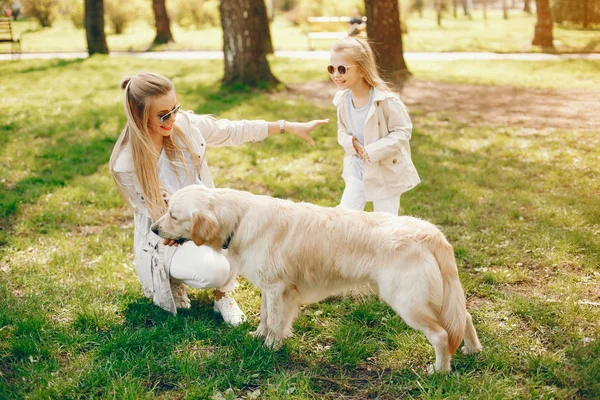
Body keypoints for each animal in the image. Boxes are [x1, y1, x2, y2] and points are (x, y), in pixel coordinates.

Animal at [151, 184, 482, 372]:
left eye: (174, 215)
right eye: (167, 209)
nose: (153, 229)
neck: (240, 219)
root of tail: (432, 233)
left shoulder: (279, 288)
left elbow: (275, 322)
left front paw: (269, 349)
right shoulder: (271, 288)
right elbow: (266, 317)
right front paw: (258, 338)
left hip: (407, 302)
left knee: (442, 335)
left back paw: (440, 371)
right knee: (464, 316)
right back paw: (472, 350)